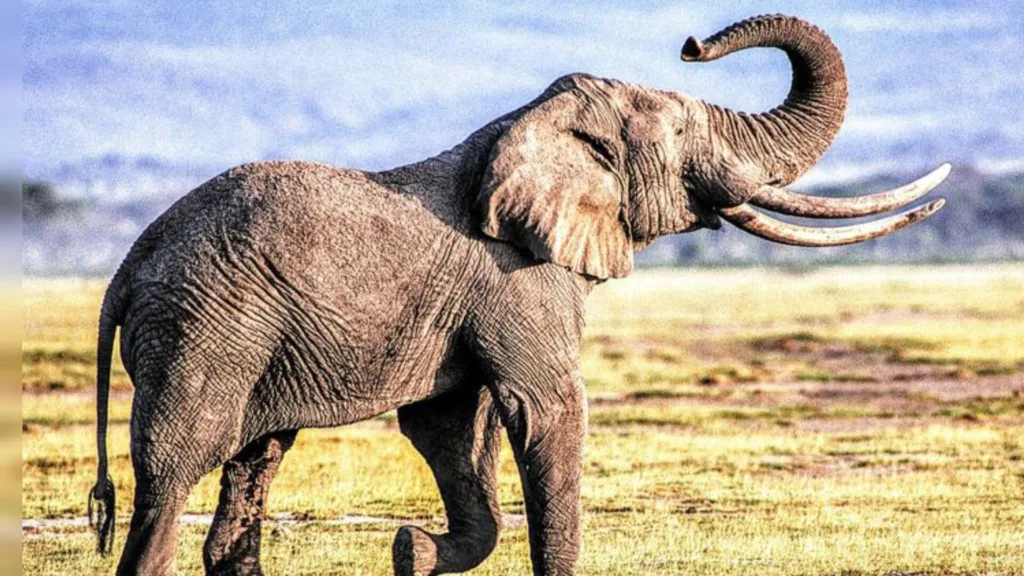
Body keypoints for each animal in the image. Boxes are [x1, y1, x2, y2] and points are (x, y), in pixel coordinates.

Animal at [88, 14, 949, 576]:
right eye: (679, 135)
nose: (693, 42)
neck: (528, 124)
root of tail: (128, 268)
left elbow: (449, 430)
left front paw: (410, 550)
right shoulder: (518, 282)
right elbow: (547, 410)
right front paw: (420, 549)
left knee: (252, 463)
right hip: (204, 328)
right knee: (172, 477)